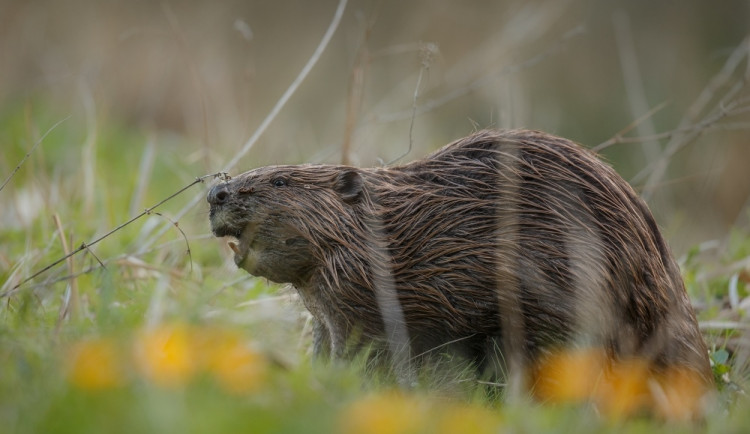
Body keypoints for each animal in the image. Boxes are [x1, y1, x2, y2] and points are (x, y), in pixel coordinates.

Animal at [209, 129, 712, 386]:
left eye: (279, 182)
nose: (216, 193)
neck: (384, 232)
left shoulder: (373, 299)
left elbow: (372, 353)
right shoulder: (329, 307)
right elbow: (326, 345)